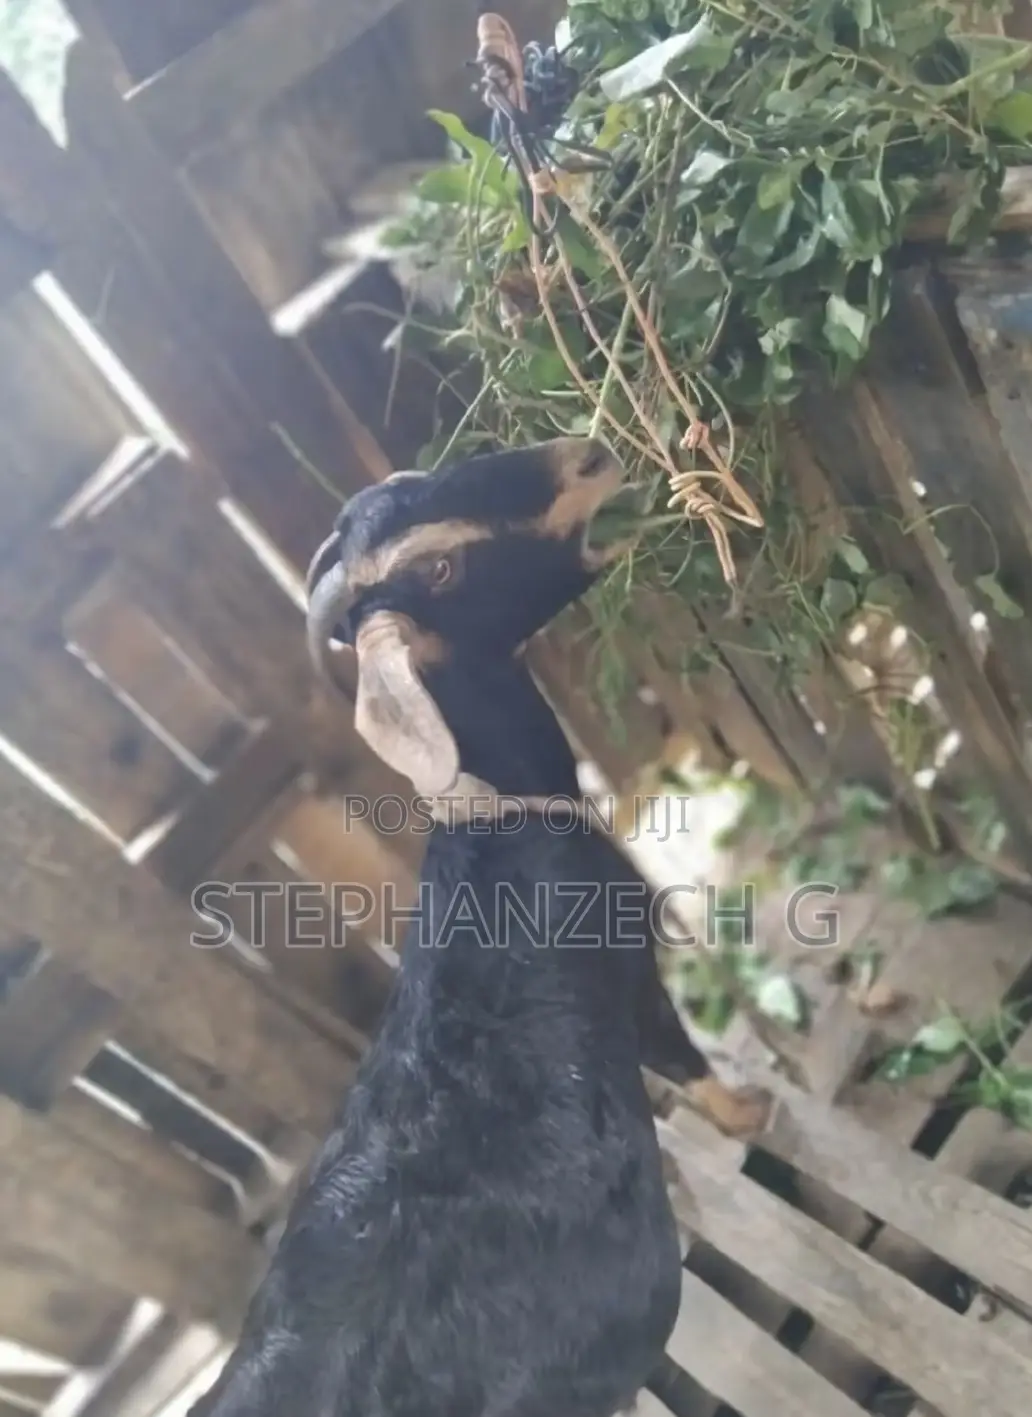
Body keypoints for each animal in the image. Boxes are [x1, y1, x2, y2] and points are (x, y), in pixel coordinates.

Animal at [192, 437, 770, 1417]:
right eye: (438, 570)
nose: (590, 458)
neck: (498, 817)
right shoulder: (630, 970)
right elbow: (684, 1060)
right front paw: (751, 1113)